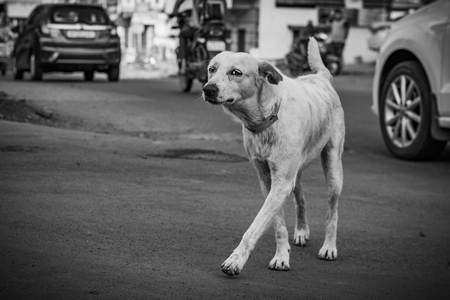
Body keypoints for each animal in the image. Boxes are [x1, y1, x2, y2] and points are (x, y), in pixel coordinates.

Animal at [202, 38, 346, 276]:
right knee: (301, 196)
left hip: (333, 167)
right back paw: (301, 231)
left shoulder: (281, 182)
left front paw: (235, 260)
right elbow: (277, 224)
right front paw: (282, 255)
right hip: (296, 171)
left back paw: (329, 247)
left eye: (236, 72)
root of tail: (320, 77)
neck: (268, 117)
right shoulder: (268, 180)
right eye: (212, 69)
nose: (208, 89)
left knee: (333, 210)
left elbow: (256, 226)